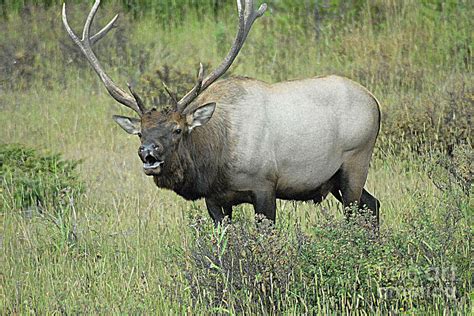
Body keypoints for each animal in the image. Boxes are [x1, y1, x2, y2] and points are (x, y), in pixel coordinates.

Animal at [62, 0, 382, 225]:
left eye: (178, 130)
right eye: (140, 132)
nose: (148, 152)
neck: (215, 161)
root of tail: (376, 103)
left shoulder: (265, 186)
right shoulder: (215, 200)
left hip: (355, 161)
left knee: (357, 212)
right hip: (336, 178)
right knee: (373, 204)